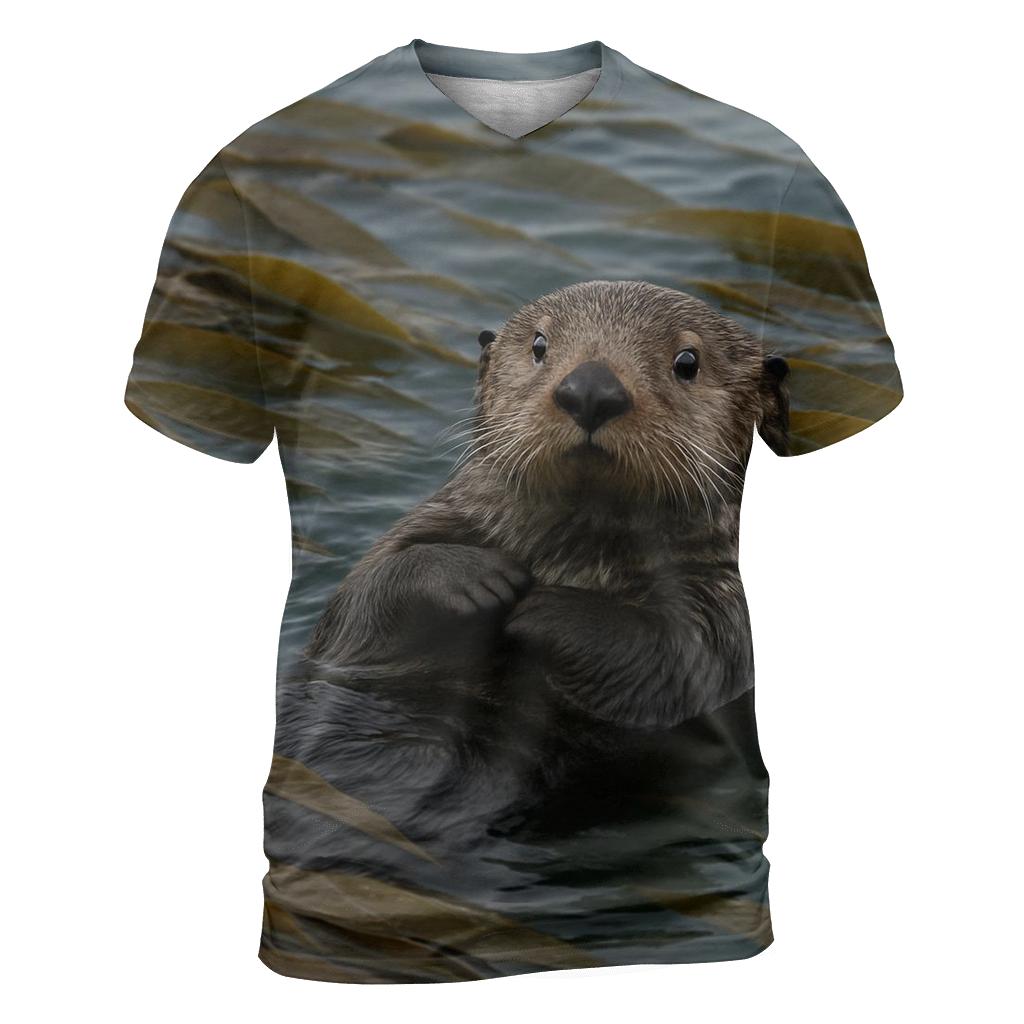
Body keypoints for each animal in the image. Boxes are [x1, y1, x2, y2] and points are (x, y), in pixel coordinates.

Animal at [276, 280, 789, 848]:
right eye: (539, 345)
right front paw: (480, 578)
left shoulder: (724, 600)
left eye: (687, 362)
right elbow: (362, 603)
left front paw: (545, 610)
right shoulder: (429, 528)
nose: (590, 389)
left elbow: (677, 659)